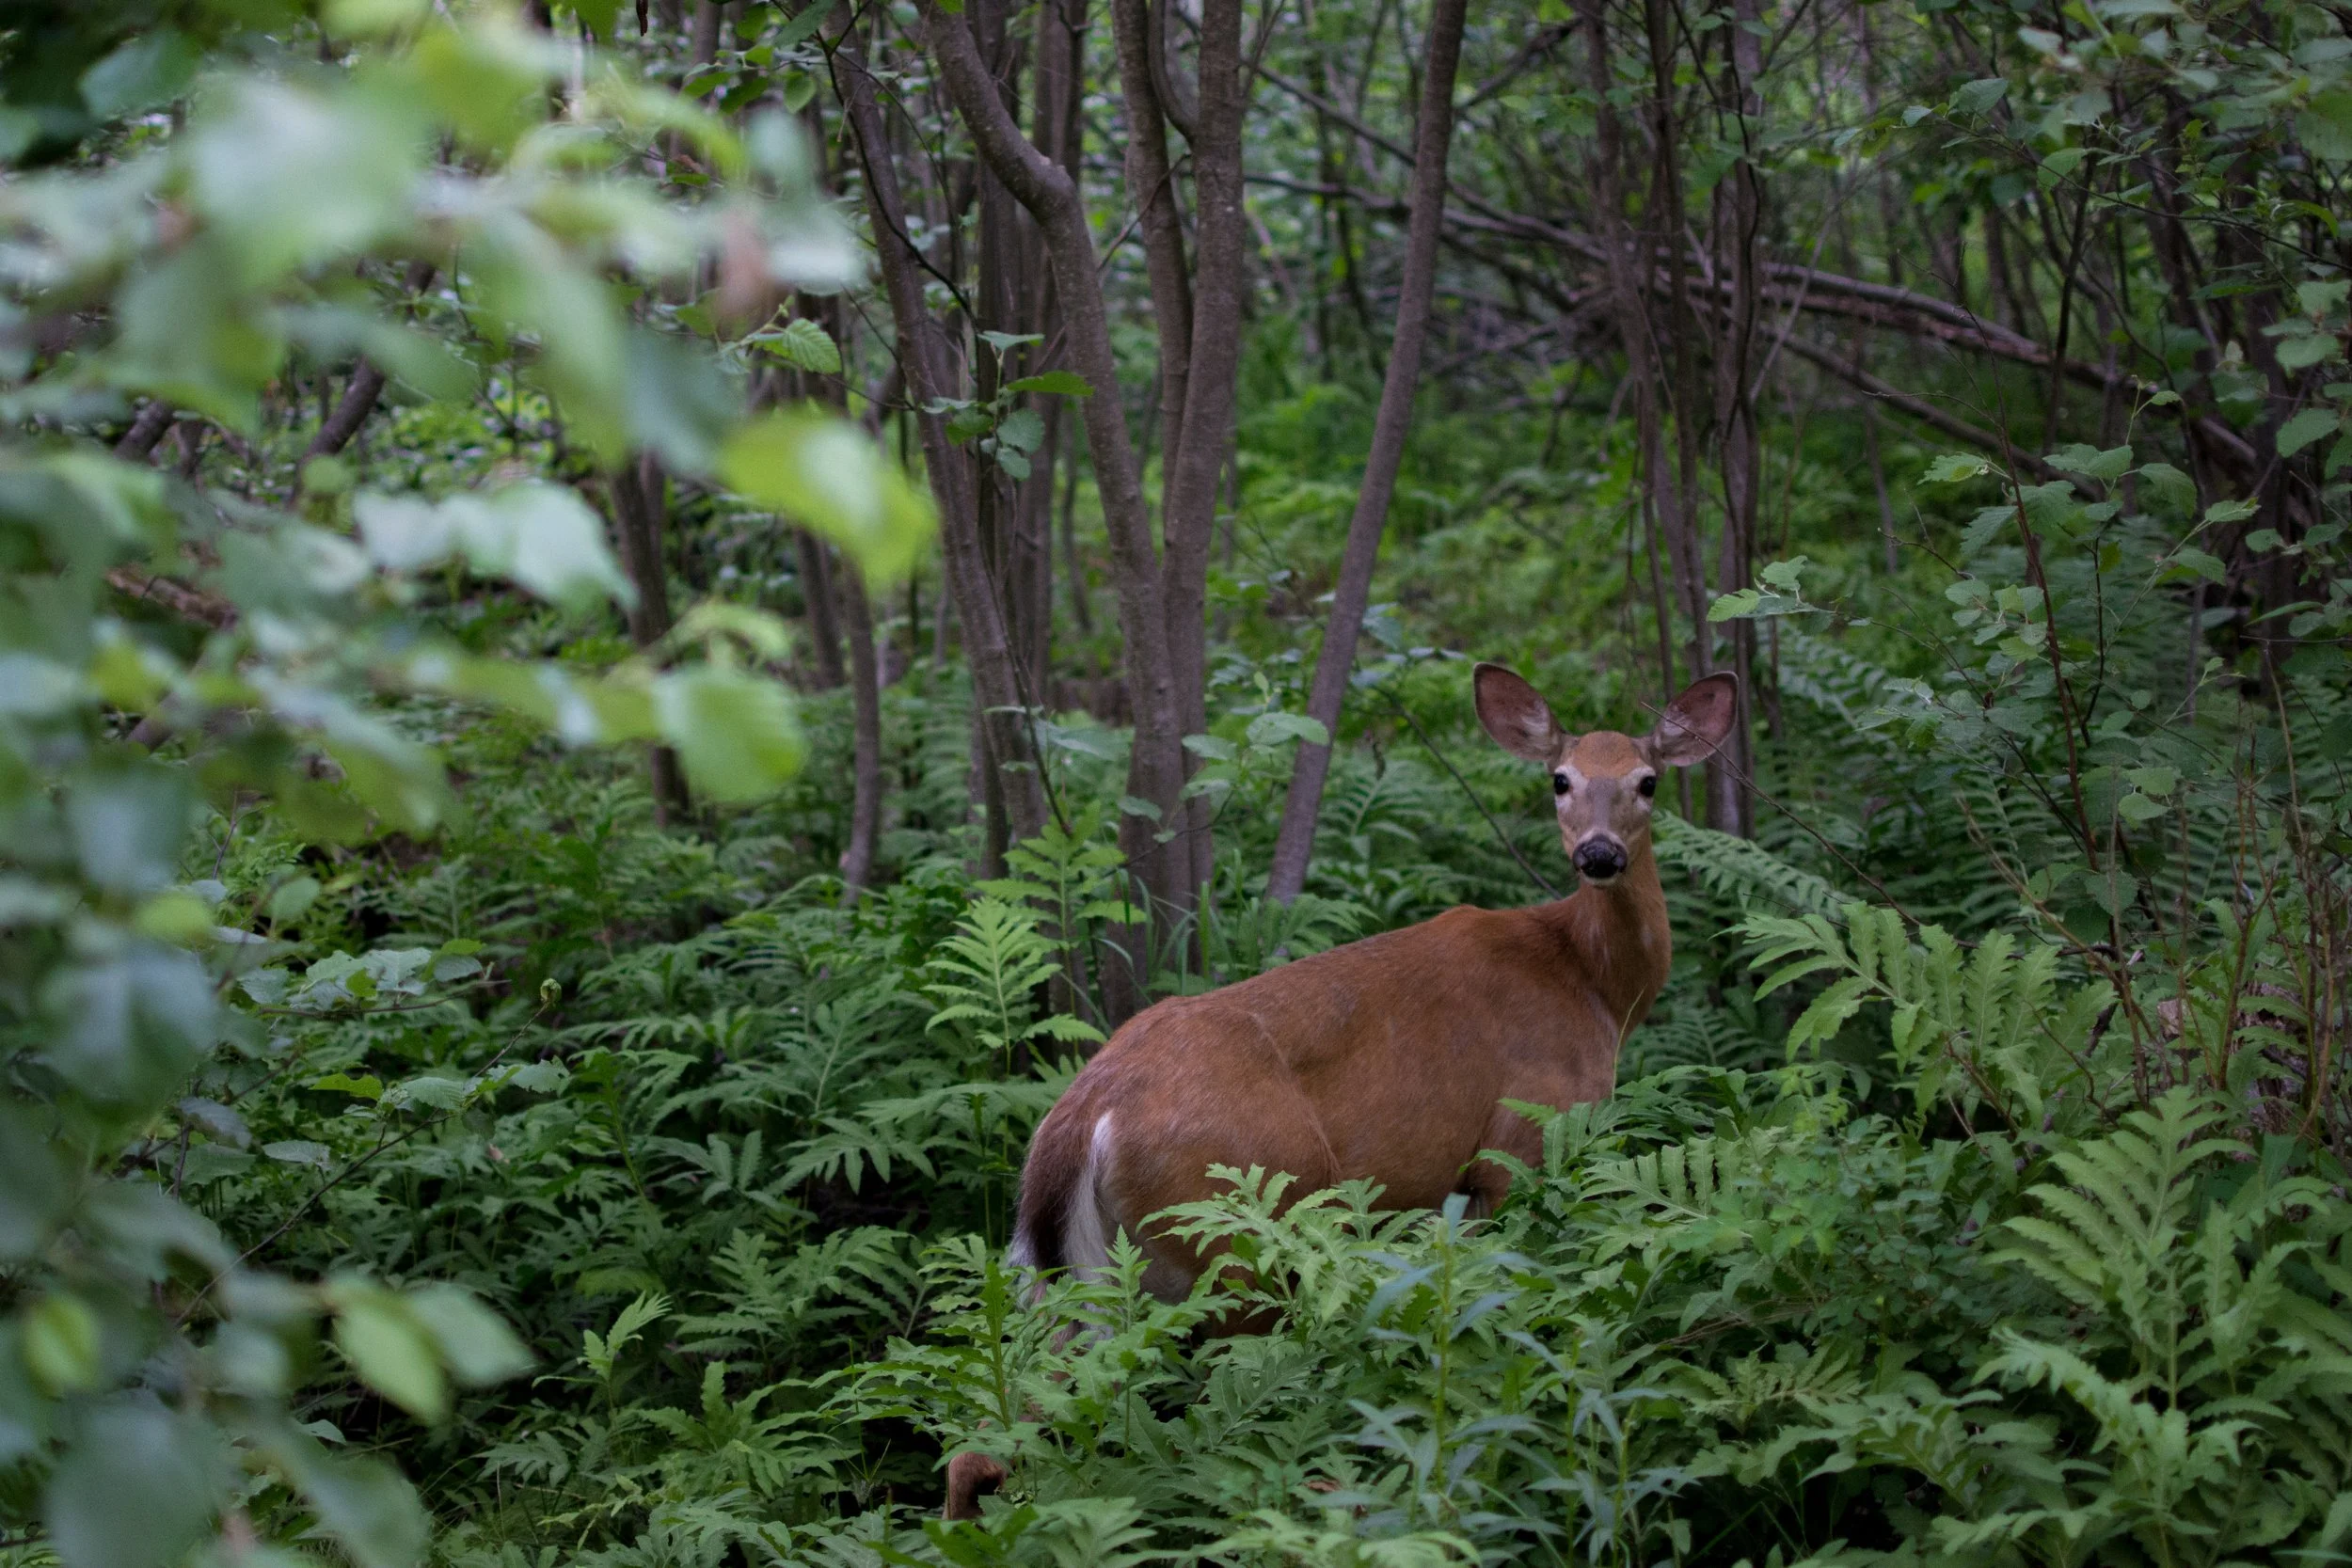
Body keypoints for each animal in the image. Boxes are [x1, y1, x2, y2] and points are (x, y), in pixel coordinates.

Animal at [1007, 665, 1740, 1302]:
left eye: (1648, 781)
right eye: (1560, 779)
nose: (1599, 853)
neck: (1591, 984)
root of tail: (1080, 1123)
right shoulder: (1524, 1137)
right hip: (1235, 1222)